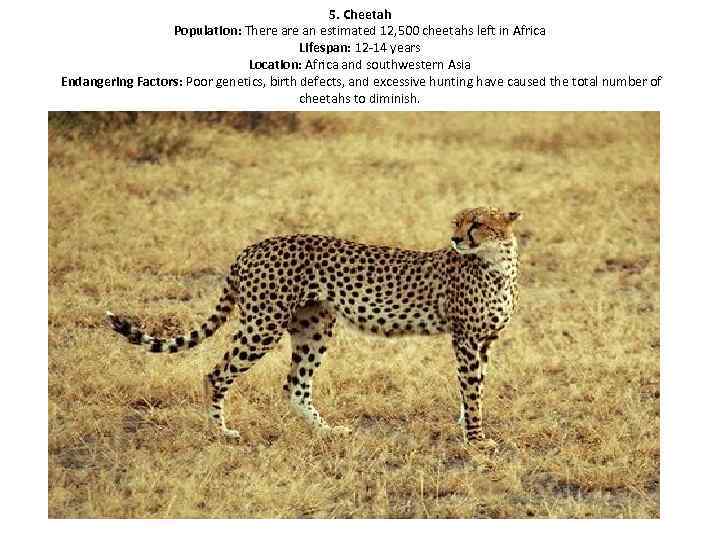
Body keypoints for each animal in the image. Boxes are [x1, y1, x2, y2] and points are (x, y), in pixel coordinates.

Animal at [106, 206, 522, 448]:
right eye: (457, 223)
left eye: (477, 224)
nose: (455, 239)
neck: (498, 263)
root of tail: (250, 248)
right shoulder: (466, 338)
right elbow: (472, 390)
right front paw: (477, 440)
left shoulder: (484, 340)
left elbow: (475, 387)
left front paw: (467, 425)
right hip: (264, 323)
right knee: (217, 374)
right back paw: (220, 431)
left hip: (314, 326)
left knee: (295, 385)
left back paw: (326, 432)